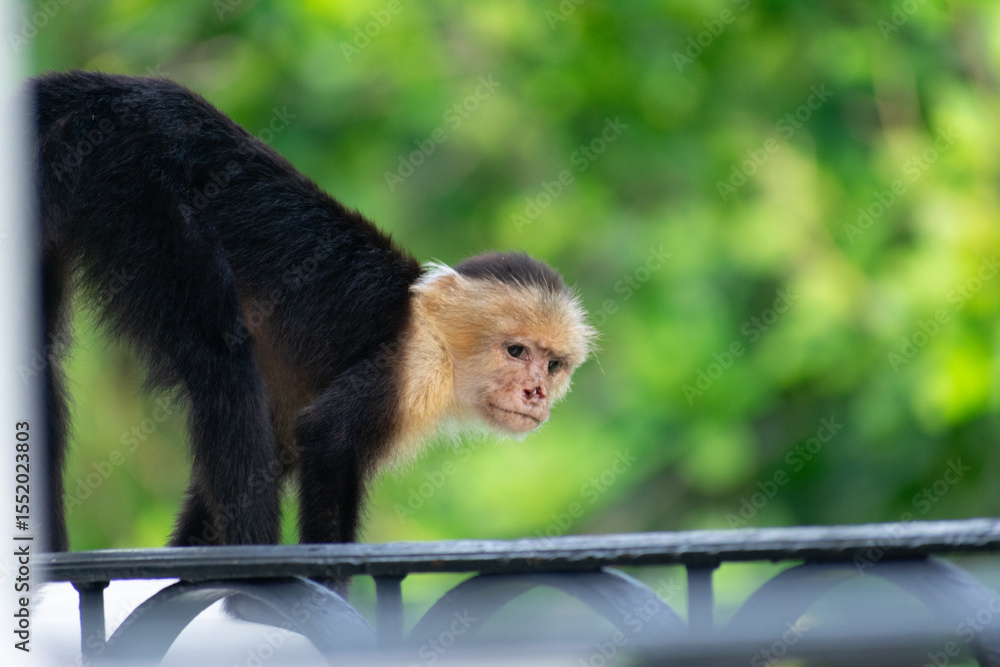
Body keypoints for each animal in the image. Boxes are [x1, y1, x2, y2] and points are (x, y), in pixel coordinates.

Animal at [33, 70, 597, 554]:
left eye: (553, 365)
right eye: (516, 351)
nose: (536, 392)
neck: (432, 333)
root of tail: (115, 93)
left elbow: (282, 449)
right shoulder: (414, 370)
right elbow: (327, 437)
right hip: (134, 184)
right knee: (219, 360)